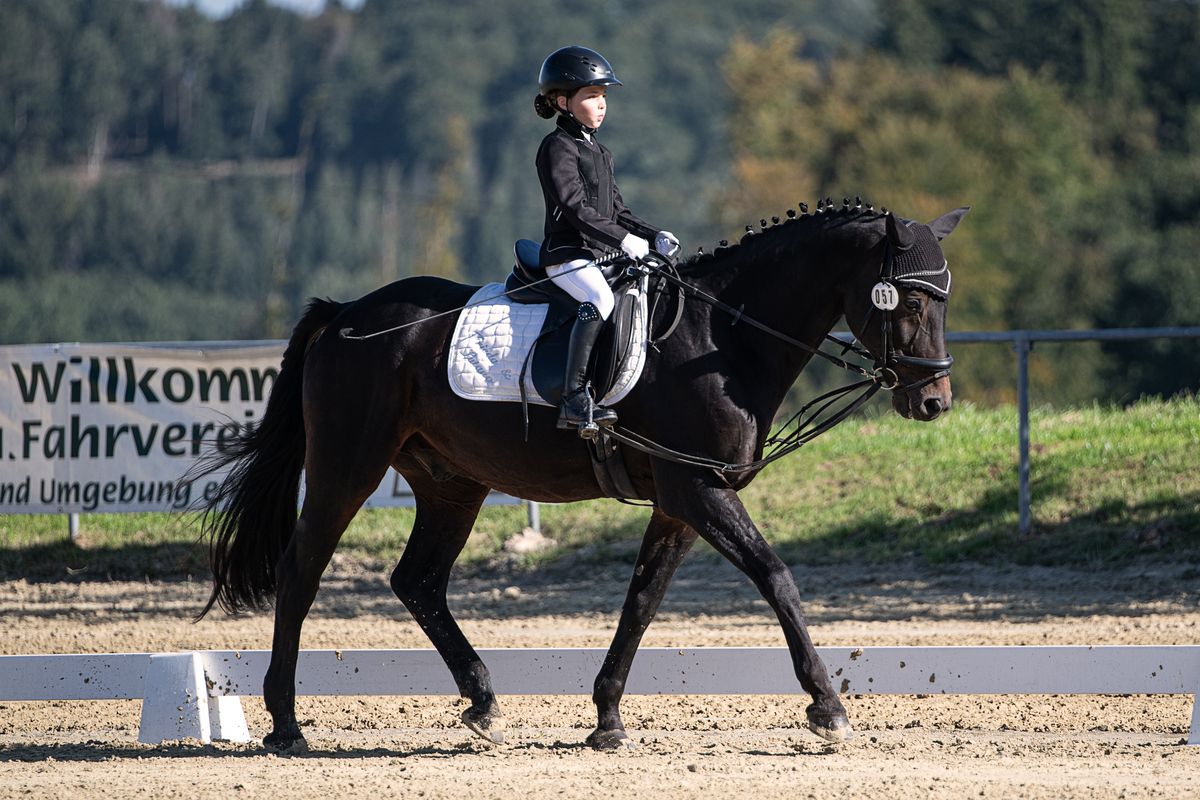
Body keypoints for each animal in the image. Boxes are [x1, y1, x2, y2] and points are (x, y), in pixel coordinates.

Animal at [194, 200, 964, 753]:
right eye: (908, 301)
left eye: (943, 300)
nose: (934, 402)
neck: (722, 338)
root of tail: (345, 315)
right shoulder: (697, 490)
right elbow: (776, 577)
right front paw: (827, 708)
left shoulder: (681, 502)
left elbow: (641, 603)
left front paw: (608, 719)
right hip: (347, 465)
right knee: (302, 571)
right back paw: (287, 725)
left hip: (451, 482)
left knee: (418, 581)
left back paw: (482, 703)